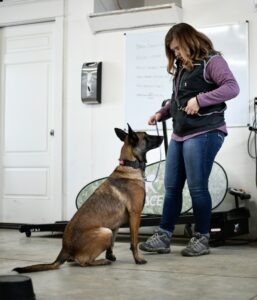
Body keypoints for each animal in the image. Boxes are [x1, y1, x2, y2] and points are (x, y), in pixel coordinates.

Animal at [13, 123, 162, 274]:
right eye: (147, 137)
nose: (162, 136)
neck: (129, 165)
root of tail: (65, 249)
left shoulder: (116, 224)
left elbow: (113, 243)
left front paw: (110, 255)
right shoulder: (135, 215)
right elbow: (134, 241)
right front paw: (137, 259)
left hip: (107, 230)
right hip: (104, 232)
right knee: (83, 262)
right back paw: (101, 261)